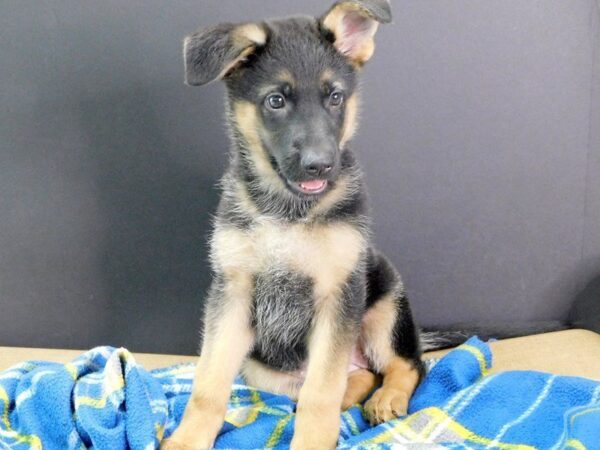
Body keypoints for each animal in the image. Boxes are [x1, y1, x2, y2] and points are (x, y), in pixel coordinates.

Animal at [162, 1, 424, 448]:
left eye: (335, 97)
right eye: (276, 100)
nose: (321, 165)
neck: (287, 211)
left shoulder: (338, 295)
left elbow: (322, 391)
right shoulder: (232, 294)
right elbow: (207, 384)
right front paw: (187, 439)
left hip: (385, 303)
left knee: (404, 366)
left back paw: (387, 399)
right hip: (262, 367)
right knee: (356, 376)